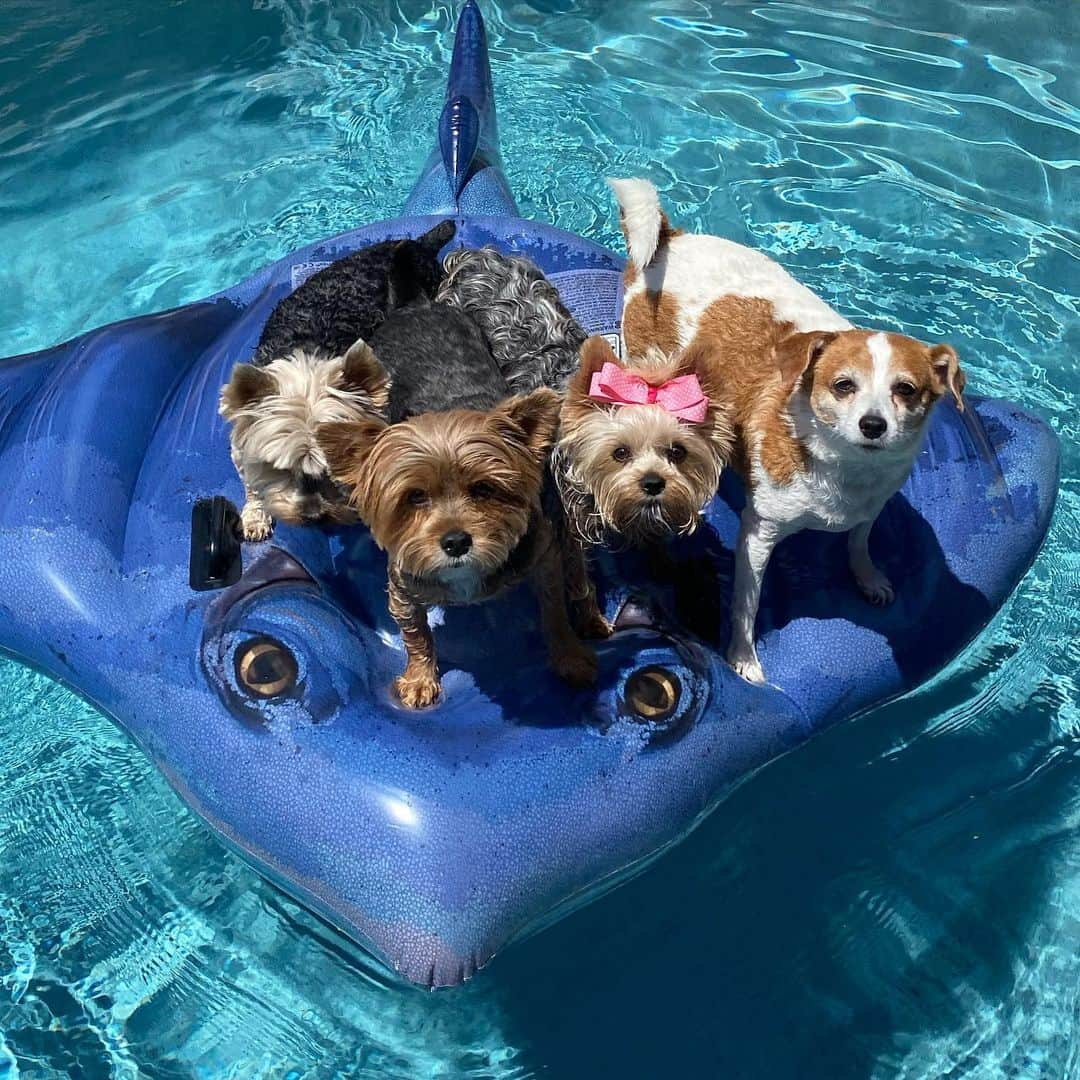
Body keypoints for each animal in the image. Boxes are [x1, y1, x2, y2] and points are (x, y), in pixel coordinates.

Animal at [613, 177, 967, 682]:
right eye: (843, 386)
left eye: (906, 390)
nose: (874, 424)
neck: (842, 466)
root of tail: (669, 239)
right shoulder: (758, 537)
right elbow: (746, 606)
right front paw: (743, 659)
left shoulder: (872, 504)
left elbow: (859, 539)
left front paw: (868, 576)